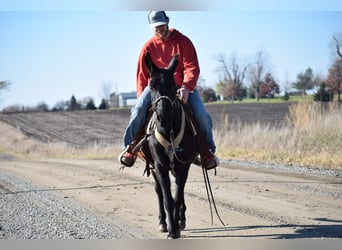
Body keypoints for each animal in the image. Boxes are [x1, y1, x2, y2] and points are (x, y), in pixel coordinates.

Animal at [139, 52, 198, 238]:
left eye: (174, 85)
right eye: (151, 85)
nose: (163, 114)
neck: (168, 131)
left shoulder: (183, 165)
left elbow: (177, 197)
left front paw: (177, 226)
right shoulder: (160, 166)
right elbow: (167, 199)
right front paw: (171, 229)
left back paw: (181, 219)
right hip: (153, 167)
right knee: (159, 191)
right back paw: (163, 222)